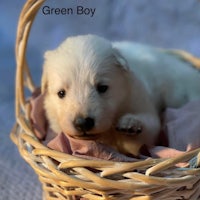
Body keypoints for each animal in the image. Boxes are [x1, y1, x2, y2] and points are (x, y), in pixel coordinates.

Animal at [41, 34, 200, 156]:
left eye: (102, 88)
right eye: (61, 93)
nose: (83, 123)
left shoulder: (138, 98)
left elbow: (148, 132)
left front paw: (130, 123)